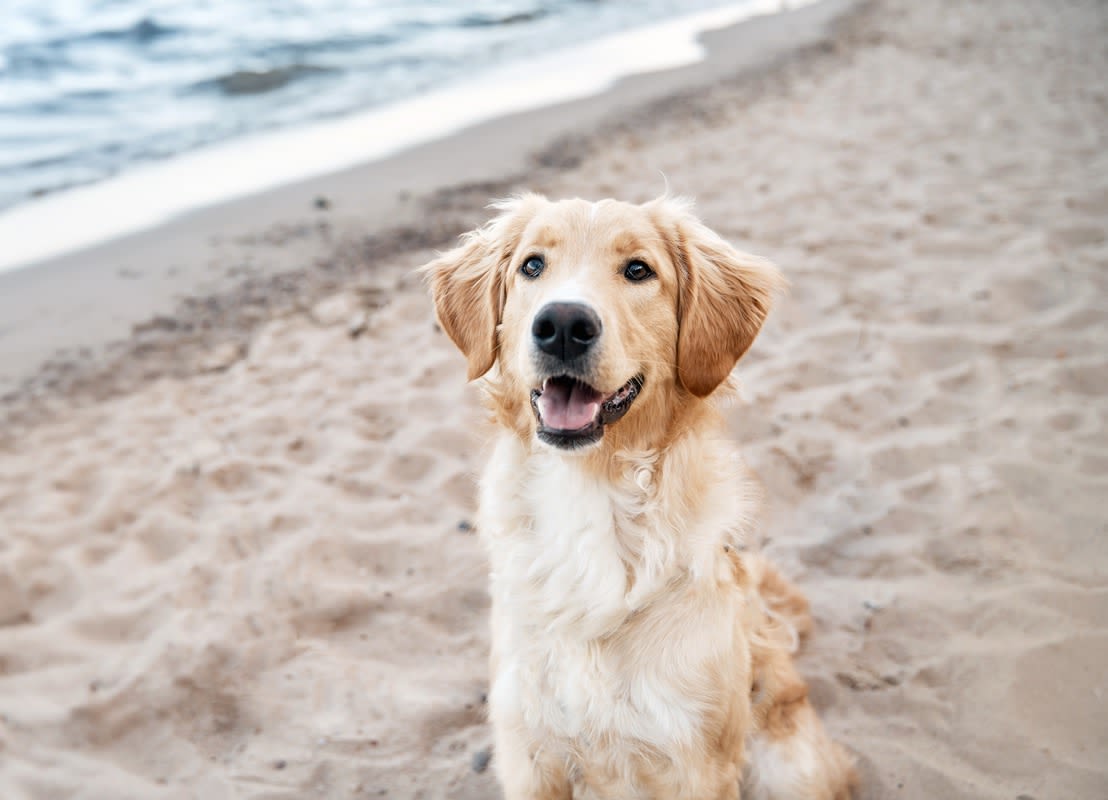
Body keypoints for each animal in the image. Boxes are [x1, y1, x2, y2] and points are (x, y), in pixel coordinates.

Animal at [418, 195, 850, 797]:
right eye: (532, 265)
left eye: (638, 270)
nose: (562, 325)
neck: (591, 491)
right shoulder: (529, 750)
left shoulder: (696, 759)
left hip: (788, 770)